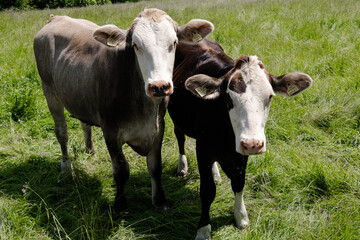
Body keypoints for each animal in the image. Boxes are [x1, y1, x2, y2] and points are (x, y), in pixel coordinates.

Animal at [33, 8, 214, 213]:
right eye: (135, 45)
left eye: (174, 42)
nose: (159, 86)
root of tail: (56, 18)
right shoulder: (110, 131)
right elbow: (121, 170)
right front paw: (120, 204)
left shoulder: (158, 128)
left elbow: (155, 166)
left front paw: (159, 200)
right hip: (49, 91)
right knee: (62, 133)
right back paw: (66, 169)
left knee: (84, 124)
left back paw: (89, 149)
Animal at [166, 38, 312, 239]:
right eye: (228, 98)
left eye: (270, 97)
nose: (253, 144)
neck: (227, 136)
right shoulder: (203, 149)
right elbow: (207, 191)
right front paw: (203, 229)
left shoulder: (241, 153)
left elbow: (239, 183)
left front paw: (241, 217)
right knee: (180, 137)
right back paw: (182, 167)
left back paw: (216, 173)